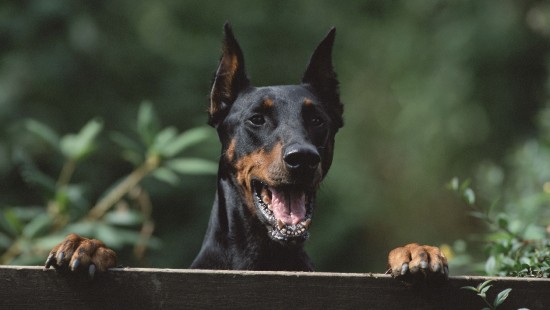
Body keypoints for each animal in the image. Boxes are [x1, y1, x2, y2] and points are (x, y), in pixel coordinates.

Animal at [43, 23, 448, 280]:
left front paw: (415, 252)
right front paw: (88, 247)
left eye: (318, 120)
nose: (303, 158)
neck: (262, 259)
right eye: (257, 118)